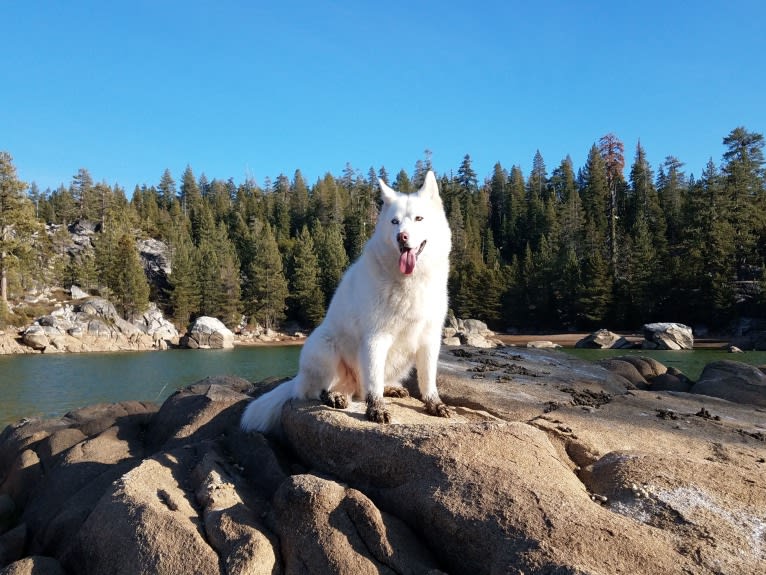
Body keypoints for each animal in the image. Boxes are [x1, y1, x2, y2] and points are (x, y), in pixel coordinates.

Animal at [243, 171, 452, 432]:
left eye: (419, 218)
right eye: (394, 222)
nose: (402, 237)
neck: (408, 282)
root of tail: (298, 379)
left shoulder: (429, 340)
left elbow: (428, 380)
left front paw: (435, 404)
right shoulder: (375, 339)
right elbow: (373, 383)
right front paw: (376, 410)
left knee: (361, 390)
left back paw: (387, 389)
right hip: (324, 346)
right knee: (320, 390)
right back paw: (334, 397)